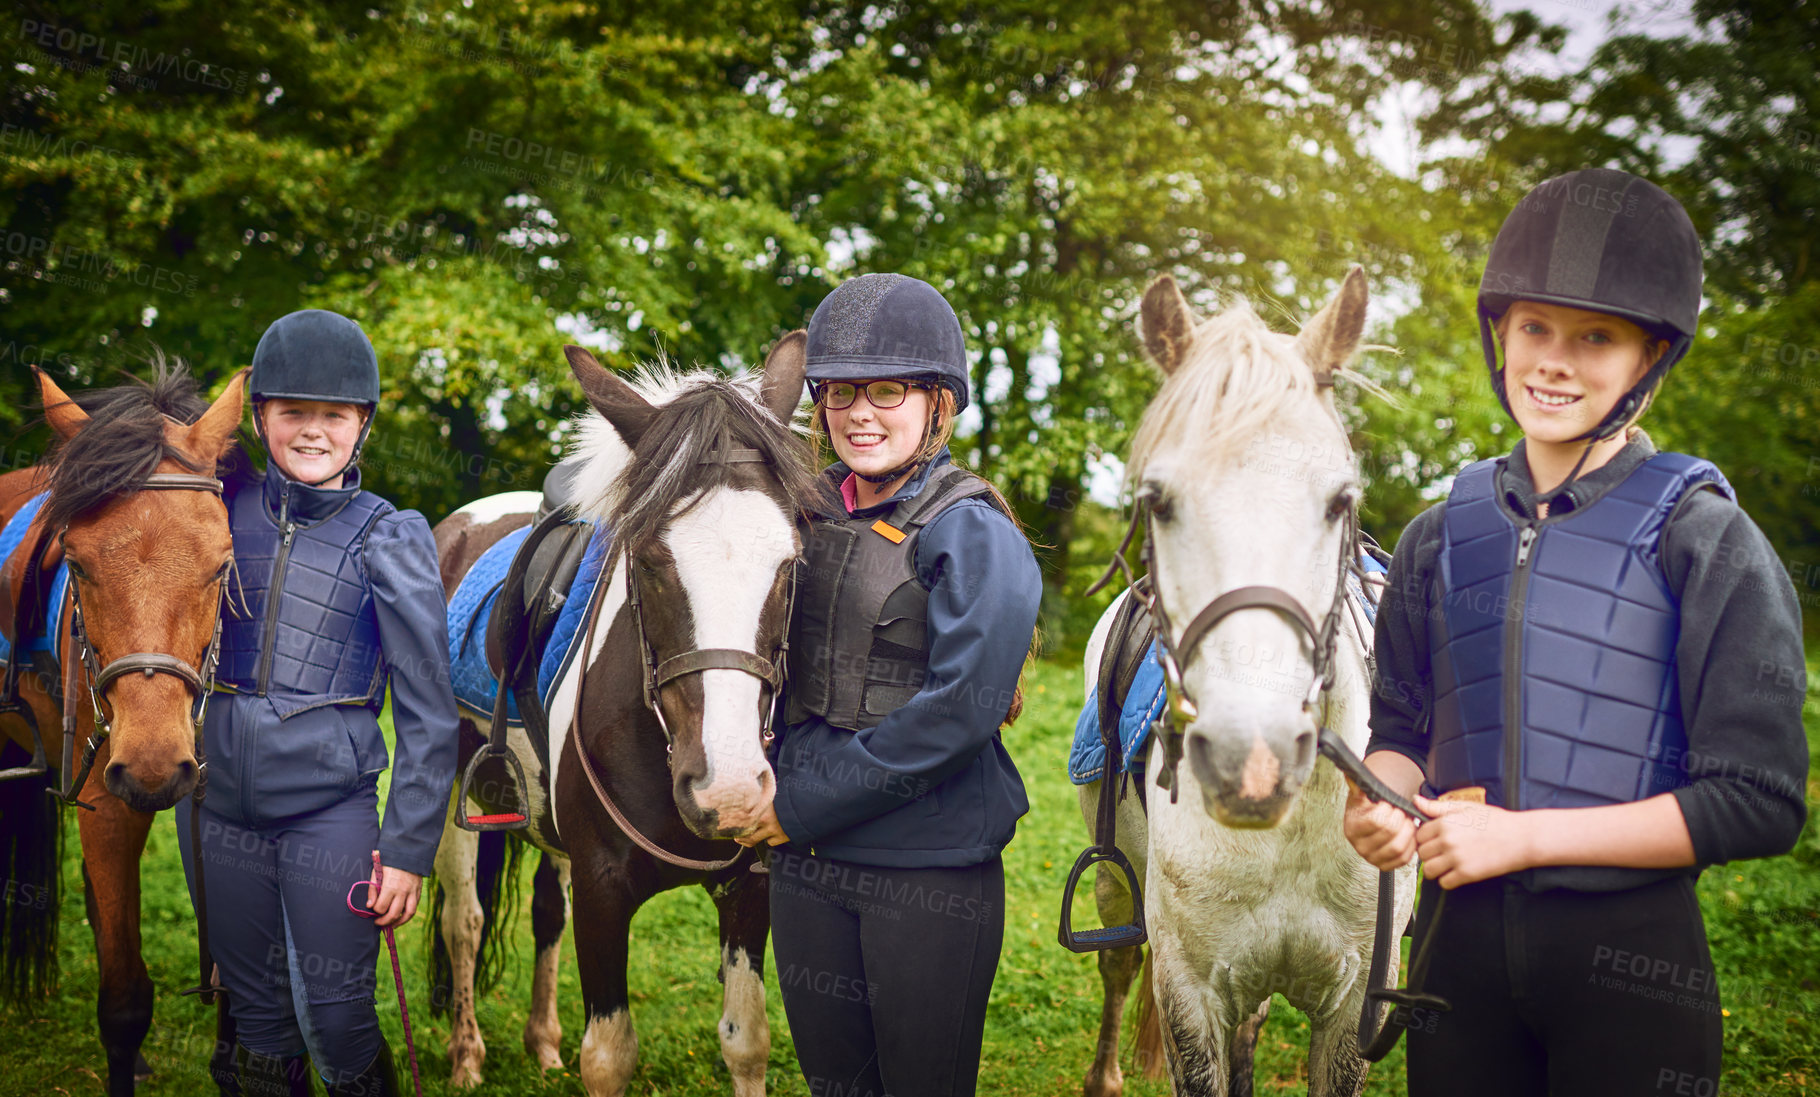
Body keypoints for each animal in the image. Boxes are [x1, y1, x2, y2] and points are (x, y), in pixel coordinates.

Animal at [422, 338, 822, 1091]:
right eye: (652, 559)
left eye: (790, 562)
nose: (728, 788)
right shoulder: (605, 892)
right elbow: (608, 1056)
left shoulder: (749, 887)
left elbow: (747, 1041)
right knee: (464, 917)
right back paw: (466, 1055)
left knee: (546, 910)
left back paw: (542, 1040)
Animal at [1077, 267, 1419, 1097]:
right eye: (1158, 501)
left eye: (1340, 499)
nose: (1251, 760)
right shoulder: (1190, 994)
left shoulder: (1352, 1009)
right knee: (1118, 962)